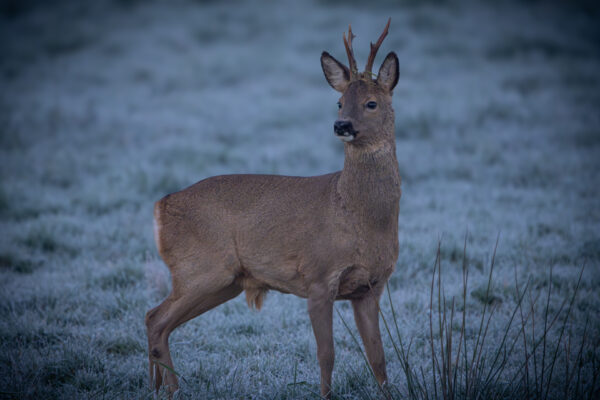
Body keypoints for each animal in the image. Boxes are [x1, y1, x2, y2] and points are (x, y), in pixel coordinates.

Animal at [144, 18, 398, 396]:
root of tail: (161, 206)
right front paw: (324, 395)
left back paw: (160, 387)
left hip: (224, 281)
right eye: (339, 102)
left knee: (155, 320)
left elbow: (378, 358)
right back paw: (173, 390)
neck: (357, 215)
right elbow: (327, 354)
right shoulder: (318, 276)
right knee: (156, 319)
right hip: (199, 269)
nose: (342, 125)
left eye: (371, 103)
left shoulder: (370, 288)